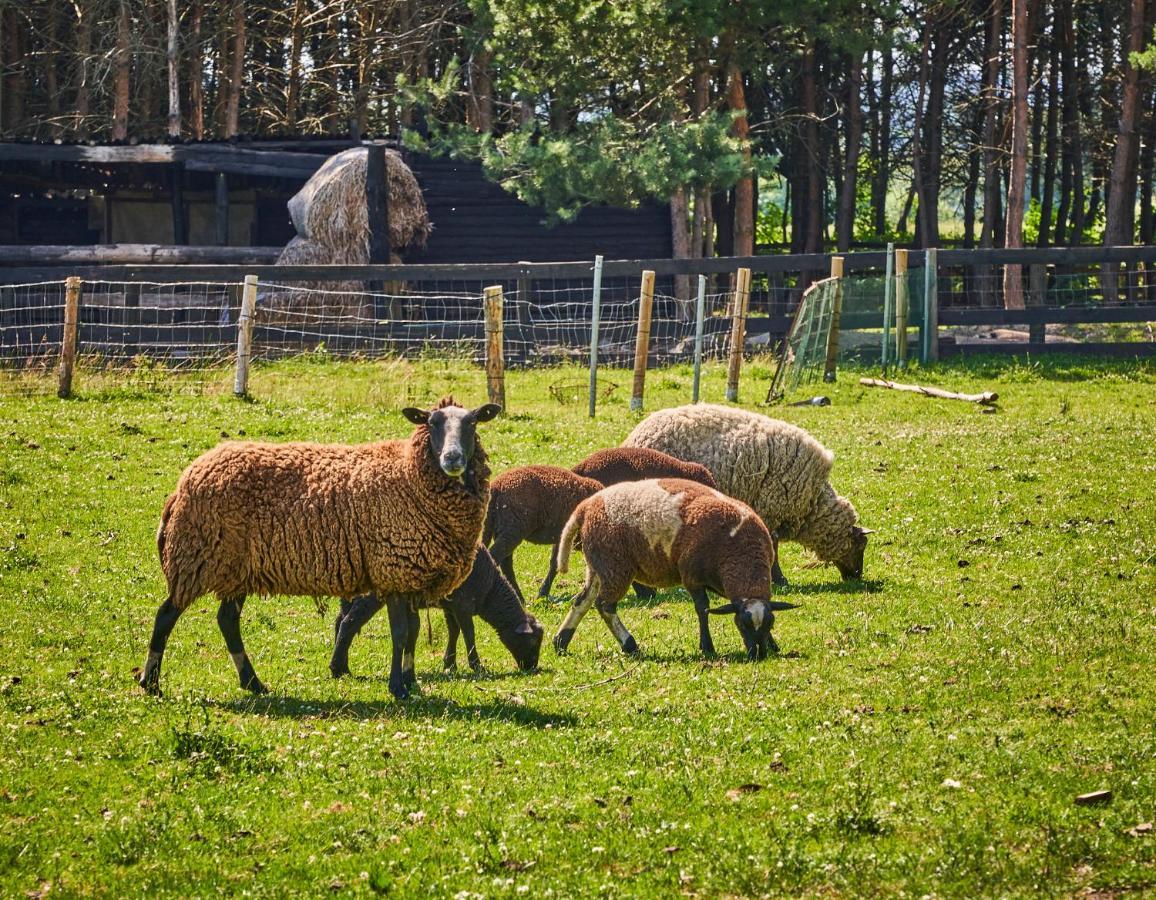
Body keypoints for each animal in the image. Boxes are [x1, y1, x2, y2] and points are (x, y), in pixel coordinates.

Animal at [137, 397, 499, 702]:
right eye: (432, 422)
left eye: (472, 423)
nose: (452, 458)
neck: (409, 477)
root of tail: (184, 483)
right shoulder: (394, 568)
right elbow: (400, 633)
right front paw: (398, 687)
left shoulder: (410, 575)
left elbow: (411, 633)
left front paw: (410, 683)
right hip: (198, 557)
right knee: (166, 614)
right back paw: (151, 682)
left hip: (235, 568)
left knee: (227, 621)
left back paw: (253, 683)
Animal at [335, 543, 541, 674]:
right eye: (533, 641)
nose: (531, 668)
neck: (490, 590)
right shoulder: (463, 605)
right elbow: (469, 633)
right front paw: (476, 666)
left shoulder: (450, 606)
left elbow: (454, 631)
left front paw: (450, 664)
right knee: (349, 623)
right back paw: (339, 668)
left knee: (340, 621)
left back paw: (341, 664)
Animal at [550, 478, 795, 660]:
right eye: (743, 624)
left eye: (771, 623)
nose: (758, 655)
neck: (739, 554)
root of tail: (586, 507)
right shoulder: (692, 576)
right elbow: (703, 609)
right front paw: (707, 647)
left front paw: (773, 645)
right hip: (615, 565)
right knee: (604, 605)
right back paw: (630, 645)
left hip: (598, 565)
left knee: (582, 601)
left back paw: (561, 642)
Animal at [624, 402, 869, 584]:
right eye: (860, 546)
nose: (857, 577)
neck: (813, 504)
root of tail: (635, 436)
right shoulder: (772, 508)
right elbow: (774, 545)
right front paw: (778, 579)